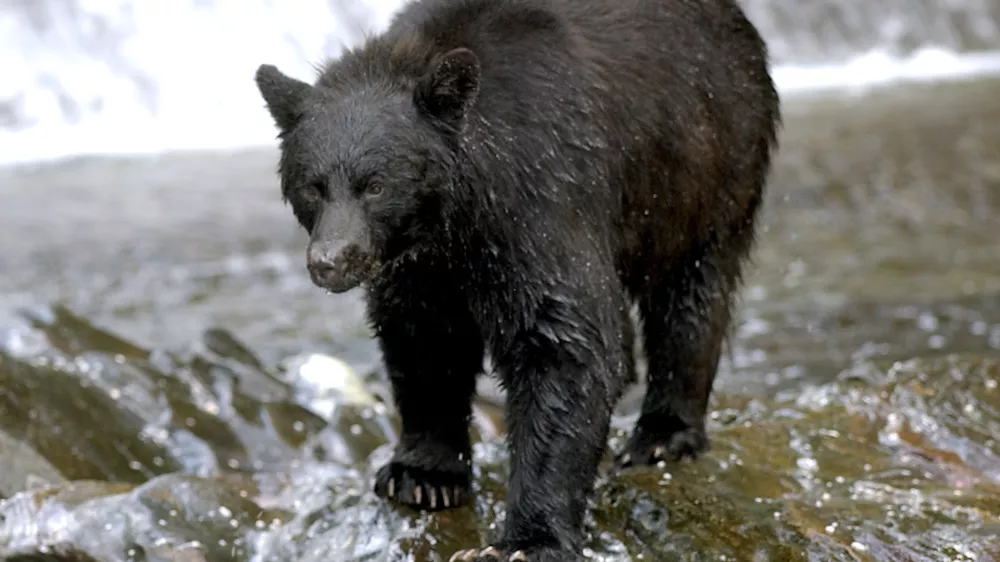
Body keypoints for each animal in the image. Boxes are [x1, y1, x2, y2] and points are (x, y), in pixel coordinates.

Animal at [256, 0, 780, 556]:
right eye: (312, 187)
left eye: (375, 185)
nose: (330, 261)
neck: (454, 222)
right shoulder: (420, 269)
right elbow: (424, 344)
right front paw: (422, 474)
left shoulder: (538, 203)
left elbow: (566, 343)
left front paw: (532, 536)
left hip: (707, 167)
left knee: (691, 295)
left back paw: (663, 435)